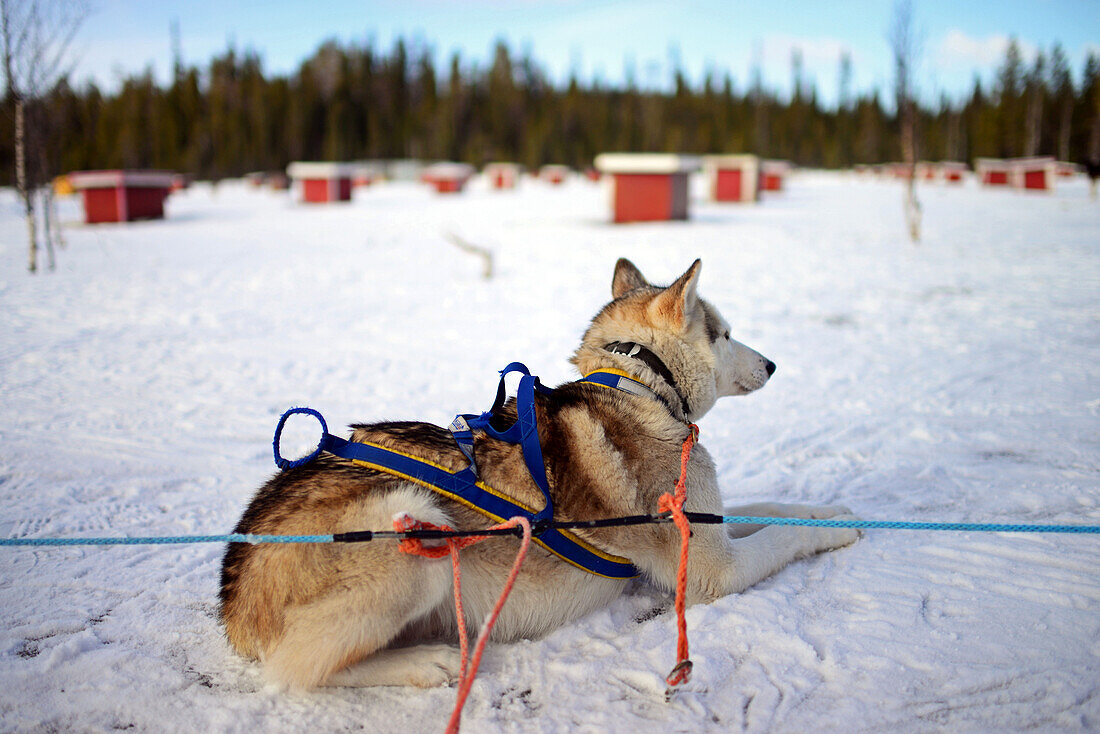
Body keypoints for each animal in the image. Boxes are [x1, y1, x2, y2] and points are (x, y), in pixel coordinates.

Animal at [221, 260, 858, 691]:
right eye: (724, 333)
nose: (772, 364)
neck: (639, 387)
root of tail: (235, 585)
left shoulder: (704, 517)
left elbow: (778, 510)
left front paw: (835, 510)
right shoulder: (712, 569)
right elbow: (781, 536)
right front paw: (836, 530)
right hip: (415, 524)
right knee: (291, 671)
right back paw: (427, 661)